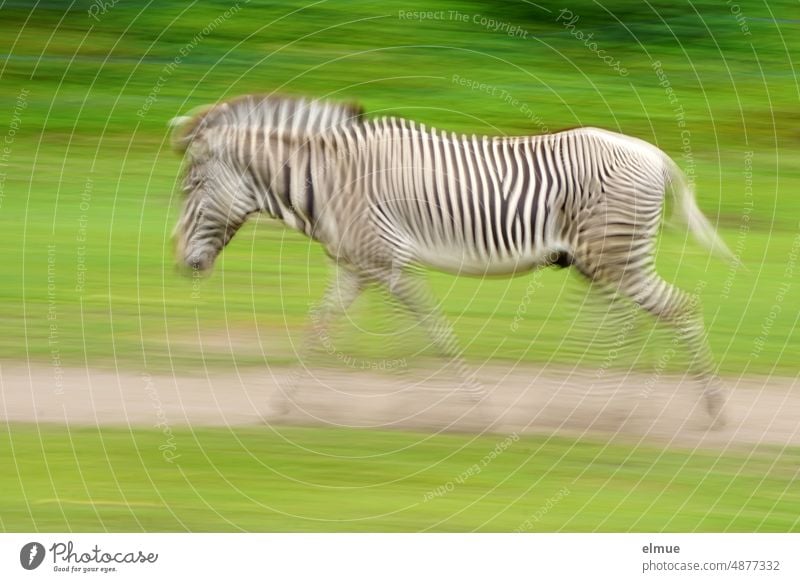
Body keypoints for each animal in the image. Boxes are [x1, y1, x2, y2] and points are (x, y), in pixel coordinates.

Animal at [172, 93, 736, 426]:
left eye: (191, 188)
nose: (182, 266)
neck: (331, 181)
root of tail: (653, 153)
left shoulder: (388, 262)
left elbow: (431, 333)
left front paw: (469, 406)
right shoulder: (360, 268)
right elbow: (323, 326)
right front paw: (284, 406)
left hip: (616, 256)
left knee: (678, 309)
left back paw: (710, 407)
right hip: (598, 262)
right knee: (626, 324)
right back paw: (604, 407)